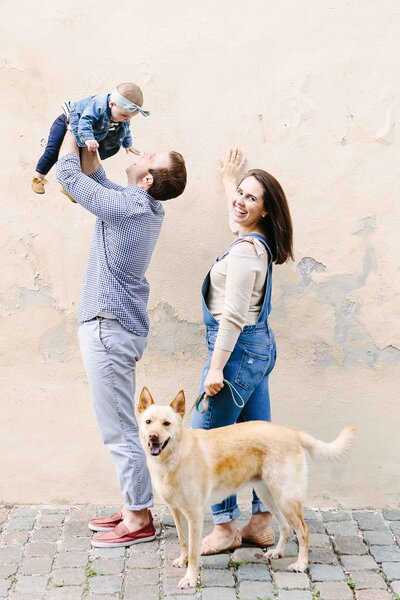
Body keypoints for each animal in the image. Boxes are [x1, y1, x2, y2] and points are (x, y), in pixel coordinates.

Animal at [138, 386, 356, 588]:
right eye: (148, 422)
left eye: (167, 423)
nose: (153, 437)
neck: (174, 456)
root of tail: (291, 431)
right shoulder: (177, 511)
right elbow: (184, 542)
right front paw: (182, 561)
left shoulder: (195, 514)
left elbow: (193, 550)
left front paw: (190, 578)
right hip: (268, 495)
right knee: (285, 527)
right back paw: (277, 552)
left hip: (285, 497)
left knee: (303, 531)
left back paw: (301, 564)